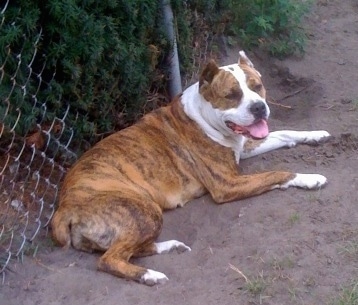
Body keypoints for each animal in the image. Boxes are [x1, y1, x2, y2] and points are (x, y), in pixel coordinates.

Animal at [51, 50, 330, 284]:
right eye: (232, 95)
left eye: (257, 86)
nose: (258, 107)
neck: (204, 117)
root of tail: (64, 208)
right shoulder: (227, 184)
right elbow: (276, 173)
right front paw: (309, 178)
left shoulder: (247, 145)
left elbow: (285, 134)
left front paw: (315, 135)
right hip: (142, 211)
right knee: (110, 259)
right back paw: (149, 275)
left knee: (131, 249)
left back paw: (169, 246)